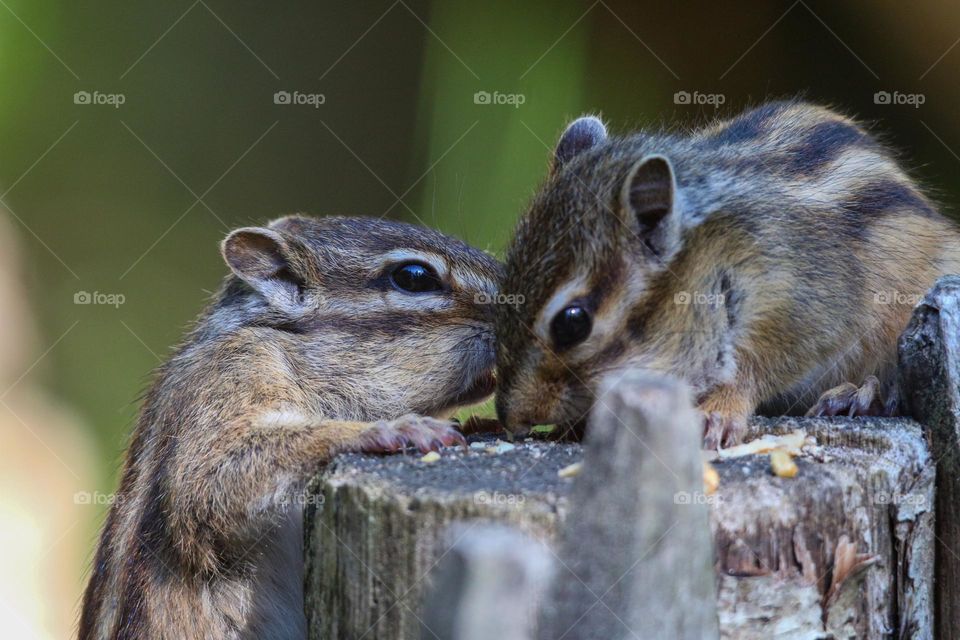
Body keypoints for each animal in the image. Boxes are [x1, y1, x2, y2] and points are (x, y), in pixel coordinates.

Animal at [493, 101, 960, 448]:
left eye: (572, 323)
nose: (510, 417)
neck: (712, 263)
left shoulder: (809, 309)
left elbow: (754, 370)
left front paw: (718, 412)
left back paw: (860, 395)